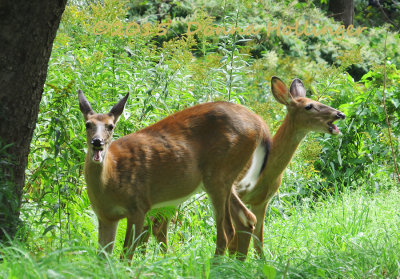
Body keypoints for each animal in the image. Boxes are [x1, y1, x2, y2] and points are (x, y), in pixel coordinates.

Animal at [78, 89, 266, 260]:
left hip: (219, 174)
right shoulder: (106, 216)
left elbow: (126, 255)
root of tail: (260, 123)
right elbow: (102, 258)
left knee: (227, 230)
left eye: (111, 126)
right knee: (247, 219)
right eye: (88, 124)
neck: (111, 178)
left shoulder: (138, 206)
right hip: (224, 179)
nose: (97, 142)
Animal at [145, 76, 346, 260]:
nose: (340, 114)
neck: (268, 172)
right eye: (309, 106)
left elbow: (259, 240)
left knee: (158, 222)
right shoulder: (238, 191)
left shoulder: (262, 202)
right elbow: (239, 237)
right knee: (157, 222)